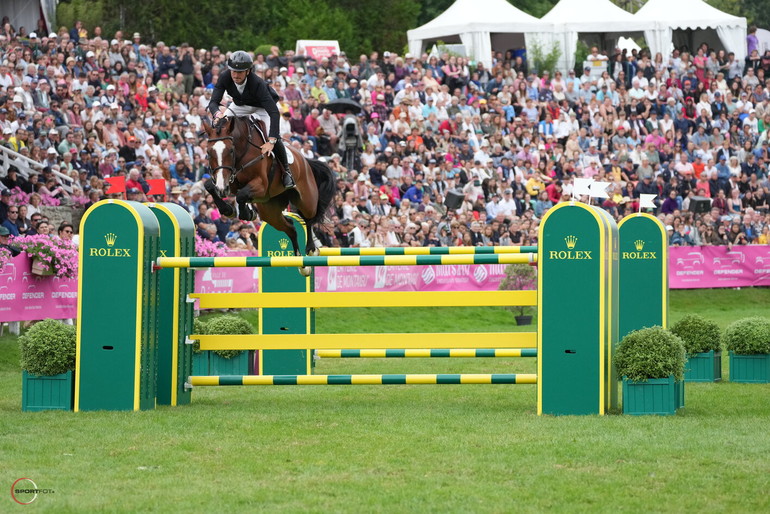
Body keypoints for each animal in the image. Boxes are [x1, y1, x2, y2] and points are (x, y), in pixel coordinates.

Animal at [202, 115, 334, 264]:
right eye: (208, 152)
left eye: (230, 150)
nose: (221, 189)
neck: (243, 150)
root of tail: (305, 161)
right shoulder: (228, 181)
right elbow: (209, 186)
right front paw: (229, 210)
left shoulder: (260, 184)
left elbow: (241, 195)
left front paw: (247, 213)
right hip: (270, 212)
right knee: (290, 228)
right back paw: (300, 261)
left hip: (306, 200)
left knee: (309, 217)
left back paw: (311, 249)